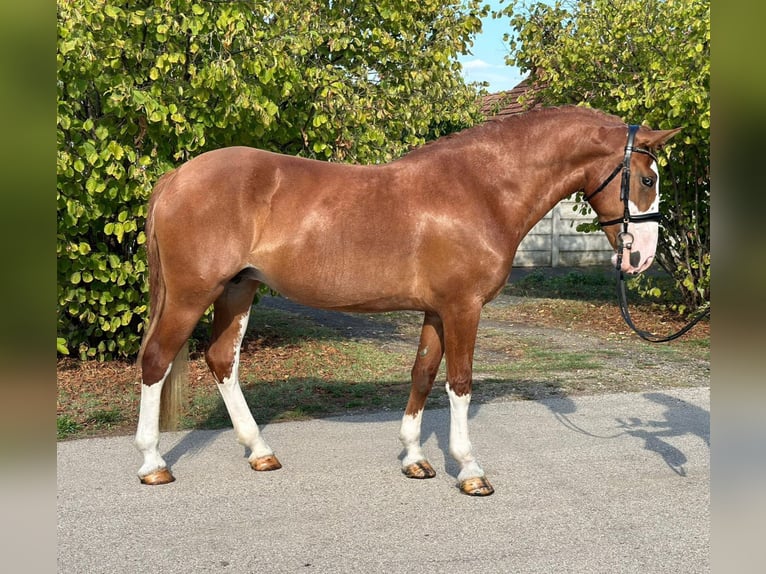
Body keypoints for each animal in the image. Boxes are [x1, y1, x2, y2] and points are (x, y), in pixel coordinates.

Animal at [135, 107, 680, 496]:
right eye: (647, 179)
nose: (642, 257)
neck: (480, 188)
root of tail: (175, 177)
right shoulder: (463, 308)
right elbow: (459, 383)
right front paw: (469, 470)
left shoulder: (437, 311)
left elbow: (422, 374)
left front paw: (415, 459)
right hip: (191, 294)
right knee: (156, 361)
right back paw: (153, 463)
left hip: (238, 288)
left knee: (221, 360)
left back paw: (259, 451)